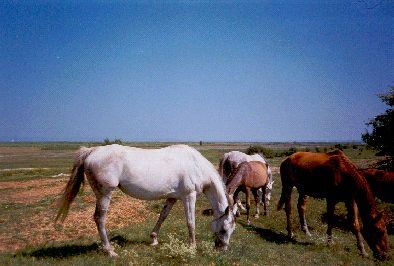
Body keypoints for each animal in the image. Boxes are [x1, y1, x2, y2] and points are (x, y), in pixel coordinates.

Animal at [56, 144, 235, 256]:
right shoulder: (189, 196)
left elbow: (162, 216)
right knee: (99, 218)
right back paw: (110, 251)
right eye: (224, 229)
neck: (196, 165)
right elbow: (191, 222)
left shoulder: (172, 198)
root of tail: (92, 151)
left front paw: (154, 239)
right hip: (104, 193)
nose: (223, 249)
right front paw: (192, 247)